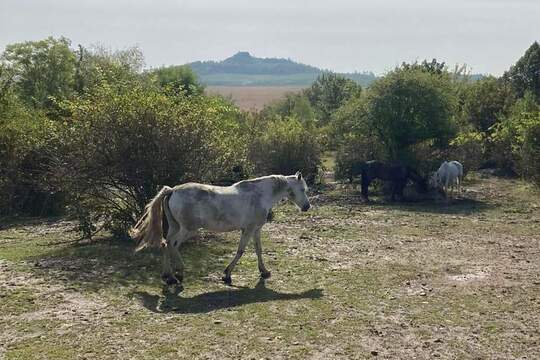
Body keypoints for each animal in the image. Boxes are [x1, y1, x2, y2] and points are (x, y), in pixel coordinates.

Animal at [130, 172, 312, 286]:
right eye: (302, 189)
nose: (307, 207)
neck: (260, 195)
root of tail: (173, 190)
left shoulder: (256, 230)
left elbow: (258, 250)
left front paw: (264, 272)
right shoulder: (248, 230)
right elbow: (240, 251)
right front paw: (227, 275)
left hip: (175, 227)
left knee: (165, 244)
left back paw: (168, 276)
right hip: (187, 230)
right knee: (172, 245)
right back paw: (179, 274)